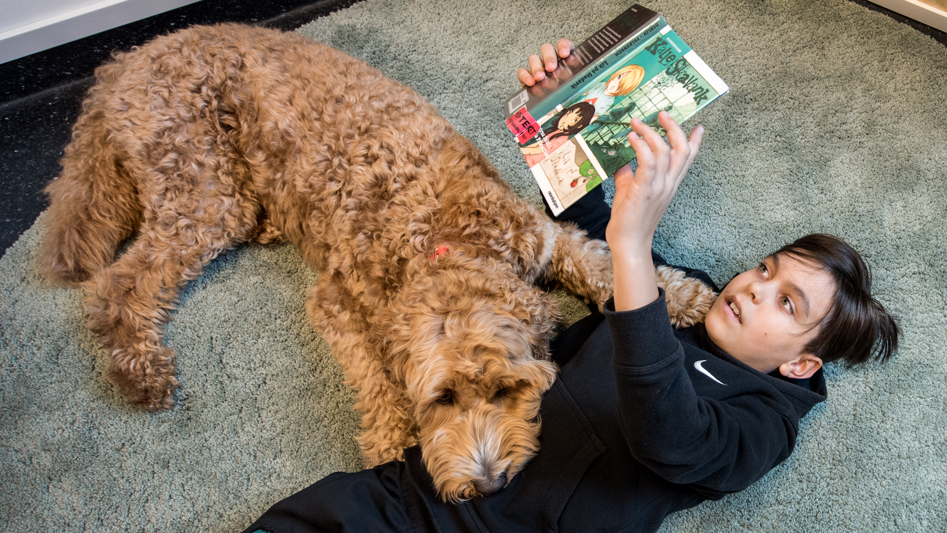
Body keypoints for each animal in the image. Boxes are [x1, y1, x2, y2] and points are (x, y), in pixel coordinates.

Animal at [39, 23, 720, 498]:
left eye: (507, 390)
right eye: (442, 399)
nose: (488, 485)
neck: (444, 242)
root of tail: (122, 60)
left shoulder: (544, 240)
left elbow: (606, 263)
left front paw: (683, 297)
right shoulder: (336, 300)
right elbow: (373, 373)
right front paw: (392, 440)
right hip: (201, 188)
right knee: (119, 285)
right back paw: (141, 371)